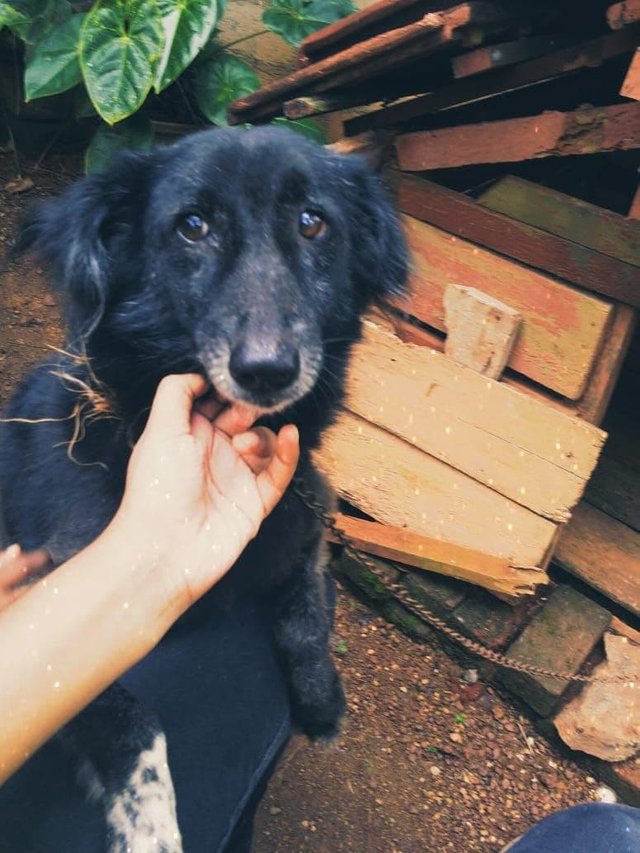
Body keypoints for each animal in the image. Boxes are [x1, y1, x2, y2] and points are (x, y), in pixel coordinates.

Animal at [0, 123, 408, 848]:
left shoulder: (302, 523)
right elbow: (134, 722)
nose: (267, 370)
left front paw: (322, 701)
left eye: (313, 222)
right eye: (193, 226)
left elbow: (307, 616)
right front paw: (150, 820)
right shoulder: (63, 589)